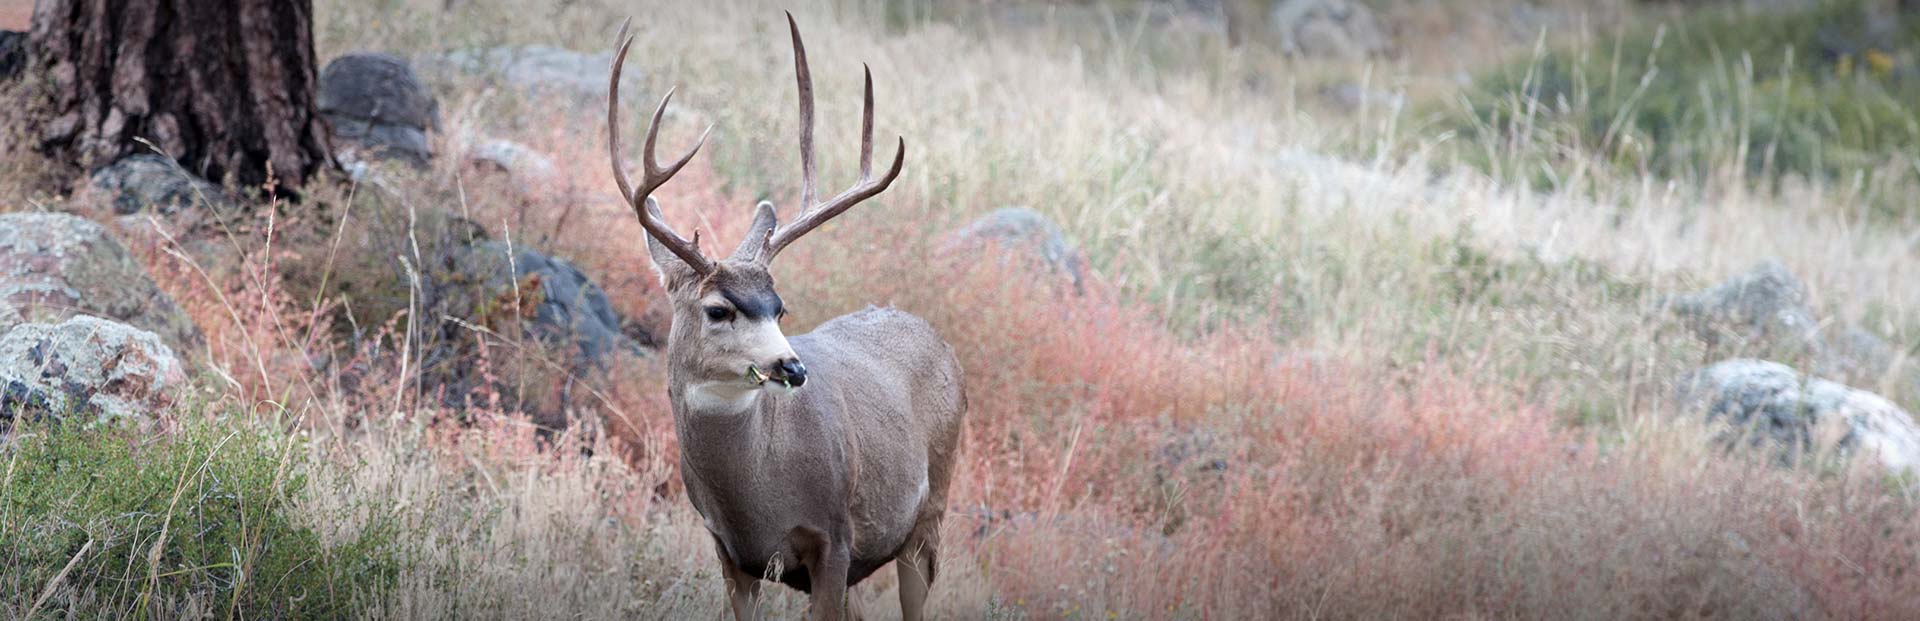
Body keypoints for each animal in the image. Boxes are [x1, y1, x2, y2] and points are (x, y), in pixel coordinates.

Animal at [605, 14, 966, 621]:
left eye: (780, 306)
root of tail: (938, 340)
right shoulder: (729, 552)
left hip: (929, 512)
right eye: (718, 309)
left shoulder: (835, 538)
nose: (792, 368)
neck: (756, 496)